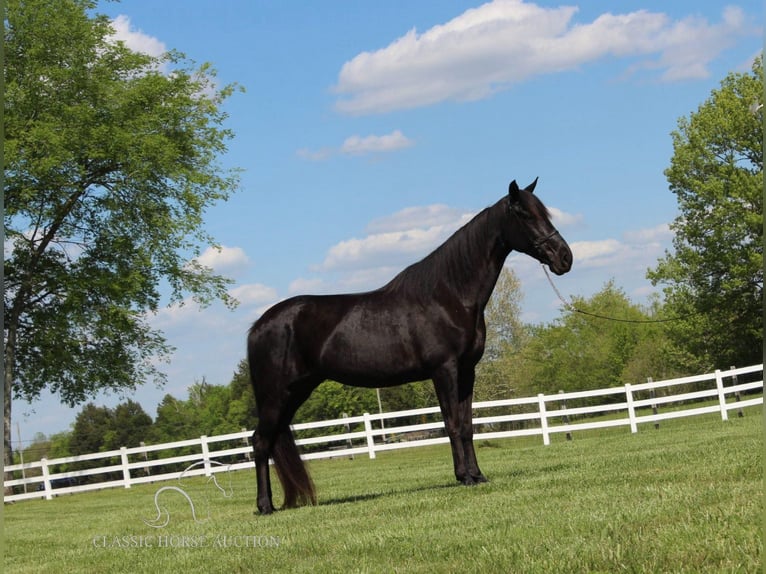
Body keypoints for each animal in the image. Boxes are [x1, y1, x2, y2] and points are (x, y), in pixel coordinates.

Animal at [249, 178, 572, 516]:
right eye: (524, 214)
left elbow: (467, 426)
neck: (448, 295)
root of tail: (259, 325)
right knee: (260, 442)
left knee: (270, 440)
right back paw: (265, 506)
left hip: (296, 392)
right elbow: (452, 424)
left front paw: (478, 475)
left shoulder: (467, 372)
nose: (565, 258)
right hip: (277, 394)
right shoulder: (444, 370)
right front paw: (463, 477)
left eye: (544, 213)